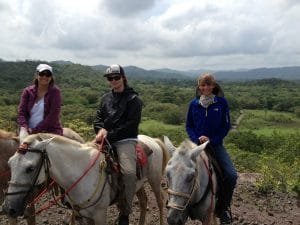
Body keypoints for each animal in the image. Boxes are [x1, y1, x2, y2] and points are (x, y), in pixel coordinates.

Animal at [3, 134, 169, 225]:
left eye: (30, 168)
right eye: (10, 163)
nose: (8, 208)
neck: (81, 172)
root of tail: (152, 140)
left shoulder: (100, 215)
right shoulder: (85, 215)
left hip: (154, 180)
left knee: (160, 202)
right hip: (138, 184)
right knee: (143, 201)